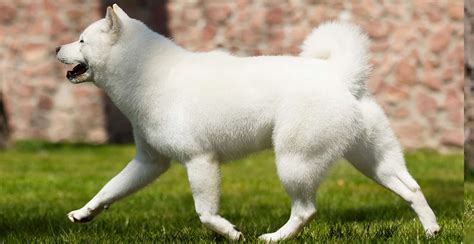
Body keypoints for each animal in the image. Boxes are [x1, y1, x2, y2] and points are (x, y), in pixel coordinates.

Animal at [56, 4, 440, 241]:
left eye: (81, 40)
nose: (56, 49)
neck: (147, 73)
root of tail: (342, 76)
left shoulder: (200, 161)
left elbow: (205, 213)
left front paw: (231, 233)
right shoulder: (149, 162)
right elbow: (109, 190)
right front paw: (83, 213)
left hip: (294, 161)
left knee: (306, 210)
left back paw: (274, 237)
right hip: (374, 161)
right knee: (412, 189)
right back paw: (432, 230)